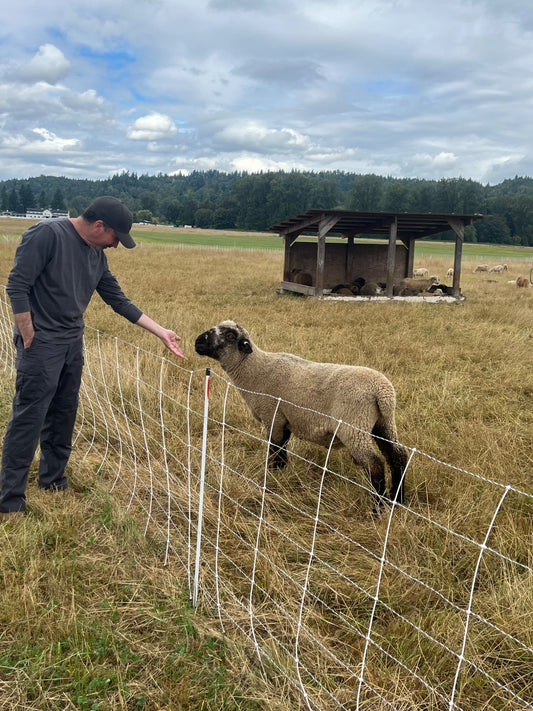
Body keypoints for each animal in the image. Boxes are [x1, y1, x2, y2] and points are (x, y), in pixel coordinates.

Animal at [195, 321, 407, 510]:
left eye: (230, 335)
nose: (198, 342)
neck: (255, 370)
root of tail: (382, 392)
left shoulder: (273, 417)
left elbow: (275, 449)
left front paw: (273, 474)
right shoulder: (284, 420)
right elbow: (282, 448)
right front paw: (282, 472)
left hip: (353, 426)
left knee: (375, 465)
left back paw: (378, 509)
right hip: (384, 423)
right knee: (398, 456)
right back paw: (398, 500)